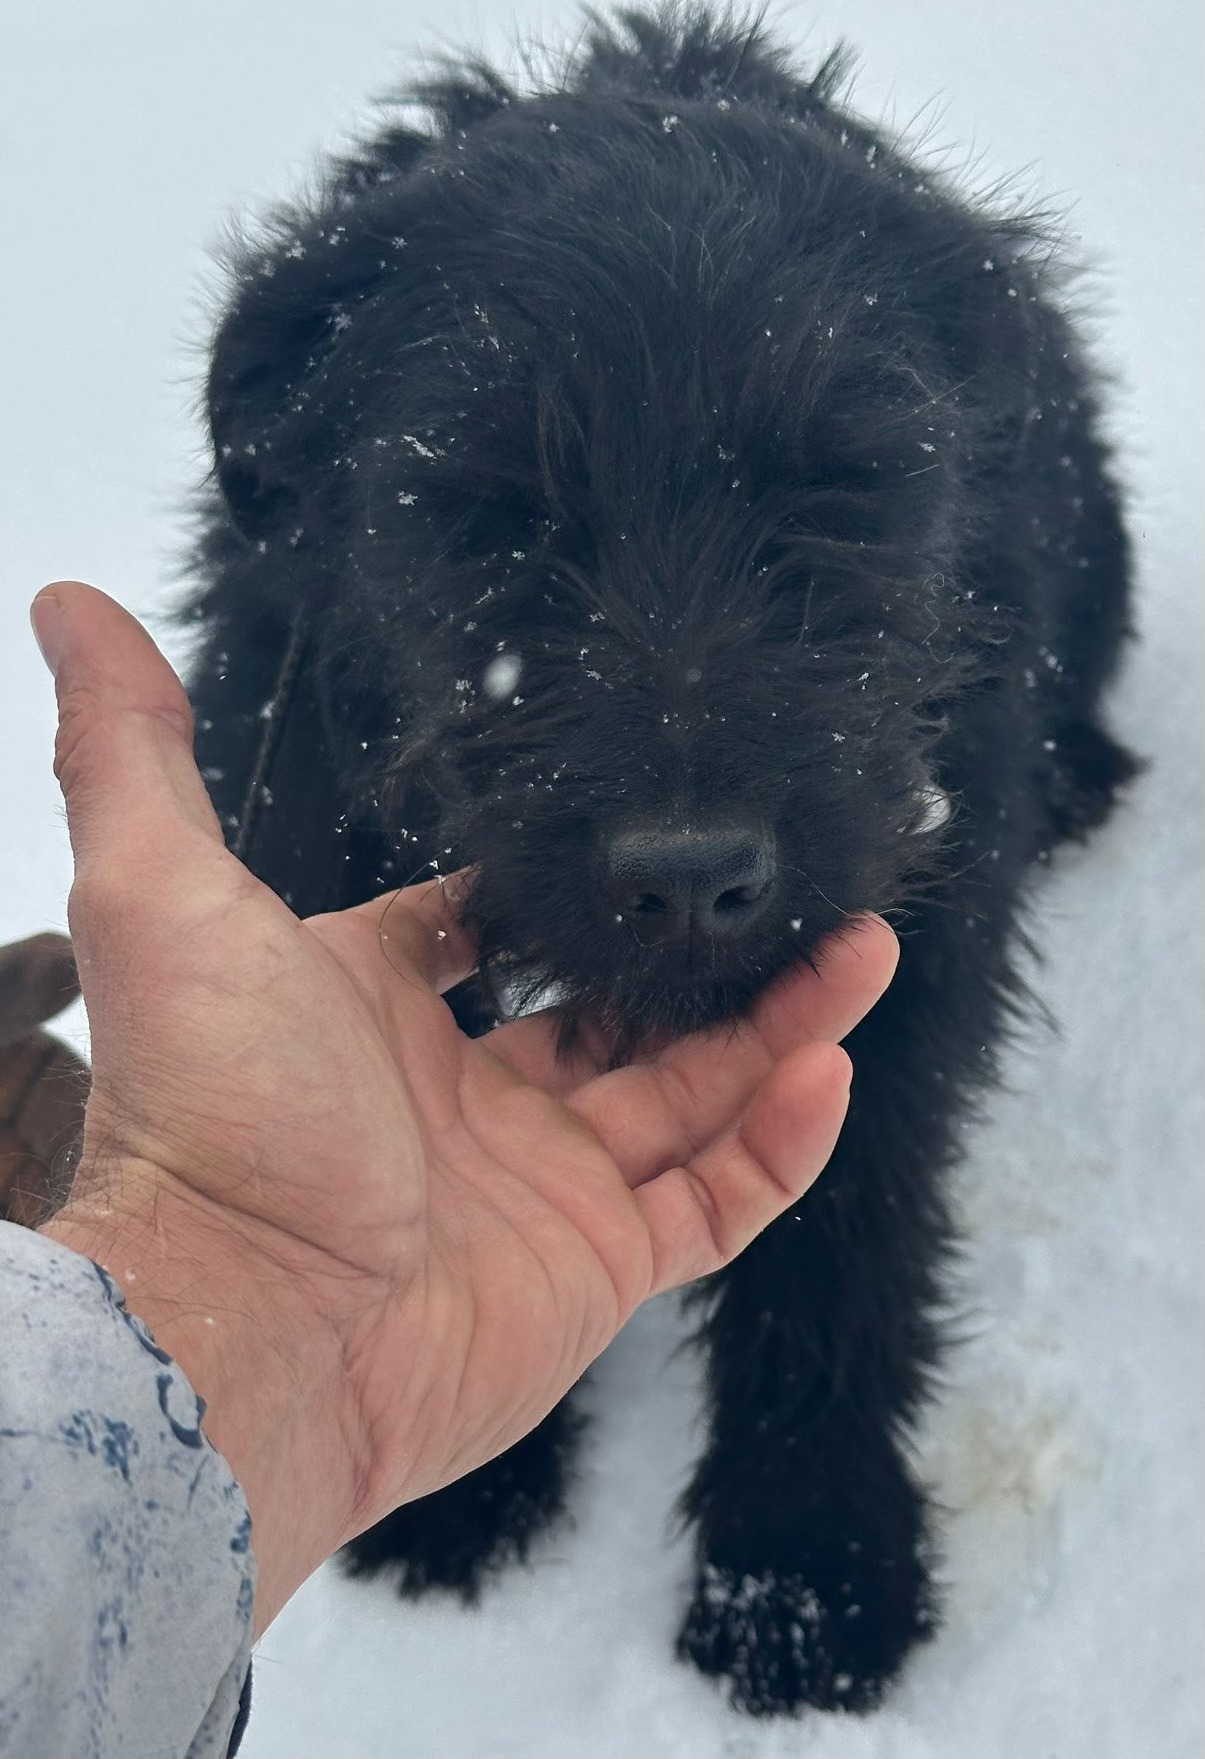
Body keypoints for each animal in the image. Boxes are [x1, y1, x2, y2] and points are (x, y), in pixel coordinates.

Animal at [182, 4, 1137, 1715]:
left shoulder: (907, 957)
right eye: (489, 509)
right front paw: (462, 1479)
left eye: (832, 487)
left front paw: (805, 1575)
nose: (692, 875)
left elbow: (842, 1244)